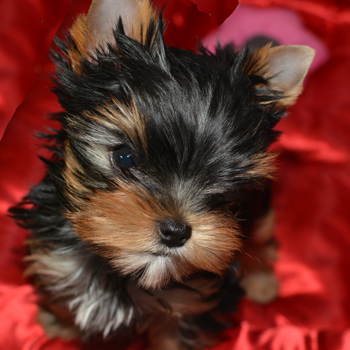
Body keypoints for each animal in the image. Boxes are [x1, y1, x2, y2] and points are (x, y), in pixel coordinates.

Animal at [9, 0, 314, 348]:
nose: (176, 232)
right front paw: (60, 322)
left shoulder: (191, 303)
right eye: (124, 157)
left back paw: (262, 281)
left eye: (227, 184)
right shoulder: (55, 256)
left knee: (261, 231)